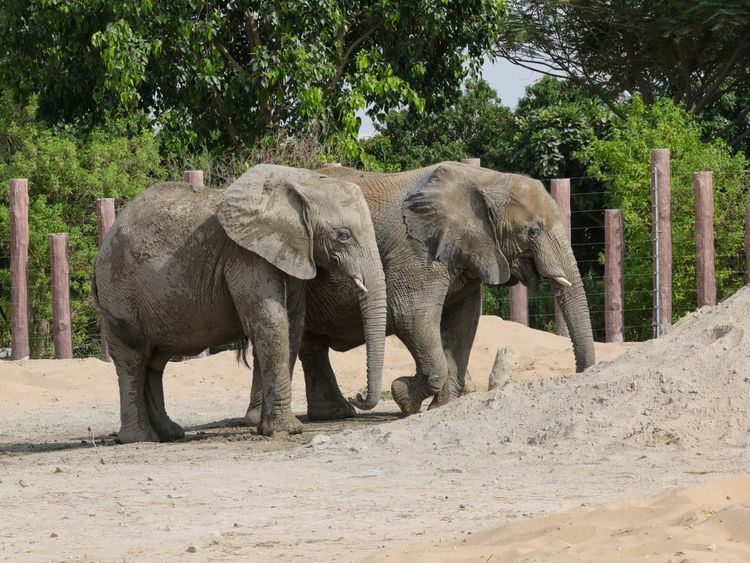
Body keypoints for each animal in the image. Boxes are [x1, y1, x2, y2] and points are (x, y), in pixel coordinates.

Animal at [92, 164, 388, 446]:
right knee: (133, 359)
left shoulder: (291, 251)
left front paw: (265, 427)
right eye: (343, 235)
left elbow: (293, 322)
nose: (358, 396)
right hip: (119, 291)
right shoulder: (245, 255)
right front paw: (287, 430)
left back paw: (170, 434)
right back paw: (141, 438)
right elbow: (271, 321)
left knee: (155, 363)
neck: (297, 181)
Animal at [247, 160, 600, 424]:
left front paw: (441, 407)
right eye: (533, 231)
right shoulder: (418, 249)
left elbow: (463, 323)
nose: (358, 393)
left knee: (309, 344)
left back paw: (335, 413)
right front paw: (404, 398)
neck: (485, 181)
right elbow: (410, 315)